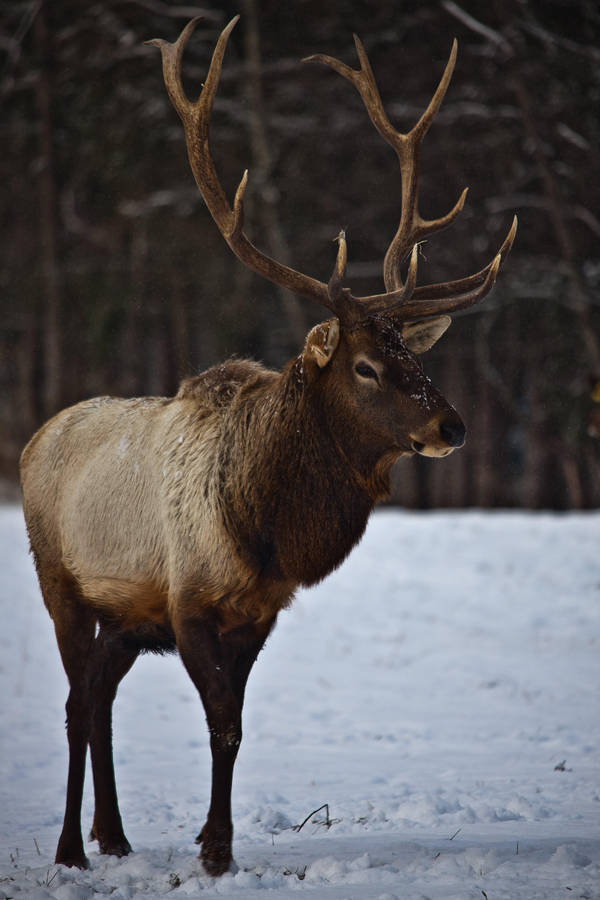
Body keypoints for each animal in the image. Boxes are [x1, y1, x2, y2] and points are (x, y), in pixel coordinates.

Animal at [19, 17, 516, 880]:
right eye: (366, 363)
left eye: (414, 354)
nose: (451, 426)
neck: (260, 528)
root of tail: (36, 436)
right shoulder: (185, 603)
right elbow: (219, 720)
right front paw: (214, 850)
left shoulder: (257, 614)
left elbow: (238, 728)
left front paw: (214, 842)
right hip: (62, 584)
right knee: (78, 704)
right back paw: (72, 849)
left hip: (123, 616)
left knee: (102, 699)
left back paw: (113, 836)